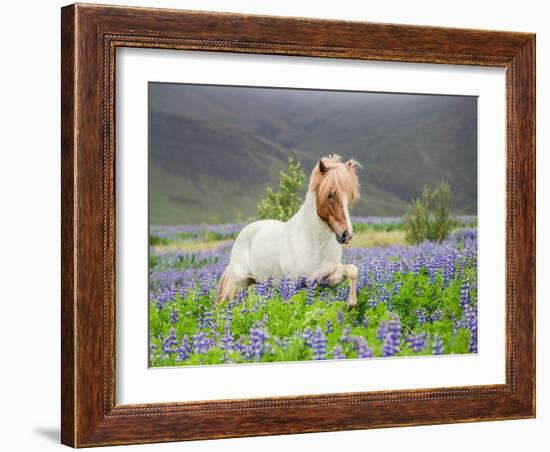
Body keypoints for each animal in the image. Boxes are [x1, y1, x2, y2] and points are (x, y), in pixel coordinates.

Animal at [216, 154, 362, 308]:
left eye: (350, 196)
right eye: (330, 194)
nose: (346, 234)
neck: (316, 245)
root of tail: (245, 231)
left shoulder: (329, 278)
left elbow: (352, 270)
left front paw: (351, 304)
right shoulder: (294, 284)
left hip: (263, 282)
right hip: (242, 280)